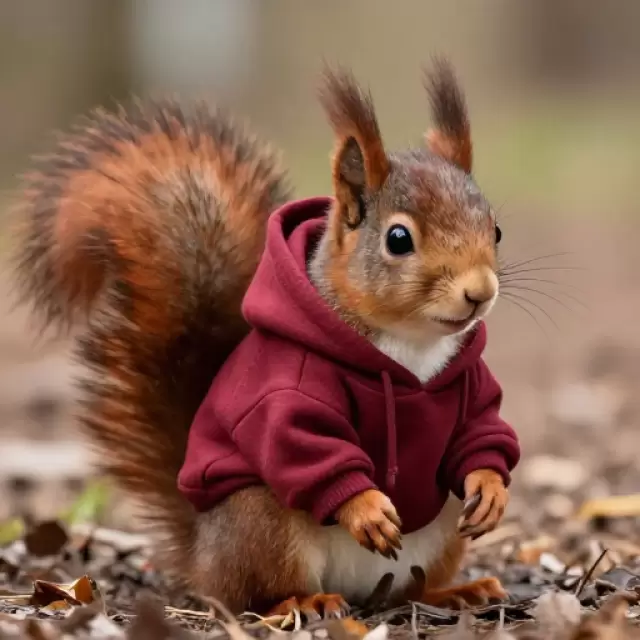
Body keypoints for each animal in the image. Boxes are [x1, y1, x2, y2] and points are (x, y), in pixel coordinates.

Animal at [12, 58, 520, 617]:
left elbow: (481, 429)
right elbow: (302, 443)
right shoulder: (286, 391)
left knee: (412, 586)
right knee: (253, 593)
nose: (479, 292)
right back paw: (304, 601)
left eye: (496, 230)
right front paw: (363, 507)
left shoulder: (470, 380)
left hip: (442, 530)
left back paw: (456, 591)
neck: (412, 348)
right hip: (261, 522)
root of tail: (202, 556)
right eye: (398, 239)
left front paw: (491, 485)